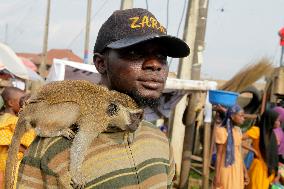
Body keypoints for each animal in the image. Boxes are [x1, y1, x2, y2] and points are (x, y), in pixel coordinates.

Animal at [6, 79, 144, 189]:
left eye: (139, 117)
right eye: (135, 117)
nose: (137, 124)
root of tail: (27, 110)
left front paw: (129, 134)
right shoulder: (96, 121)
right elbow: (81, 143)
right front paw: (76, 173)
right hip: (42, 112)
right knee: (74, 108)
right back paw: (47, 130)